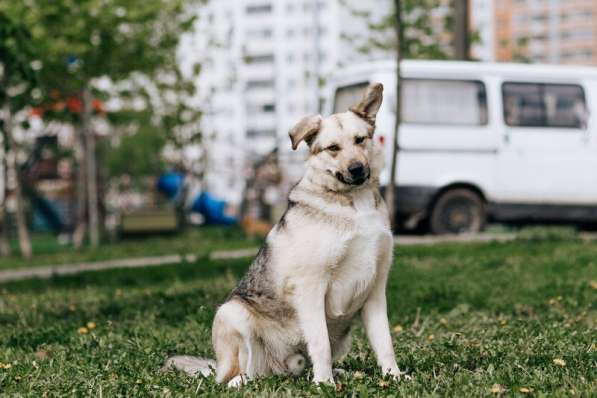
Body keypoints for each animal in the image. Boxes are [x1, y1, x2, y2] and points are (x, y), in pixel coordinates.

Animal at [163, 83, 406, 386]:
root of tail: (280, 368)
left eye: (360, 140)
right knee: (239, 374)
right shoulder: (312, 287)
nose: (357, 169)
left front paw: (393, 376)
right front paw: (324, 384)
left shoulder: (375, 290)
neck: (353, 204)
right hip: (231, 313)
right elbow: (320, 344)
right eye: (333, 148)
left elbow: (384, 341)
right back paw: (244, 382)